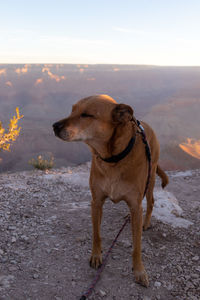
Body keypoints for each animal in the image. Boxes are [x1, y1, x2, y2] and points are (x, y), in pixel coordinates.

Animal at [52, 94, 168, 286]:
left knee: (150, 202)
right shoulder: (96, 202)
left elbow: (137, 246)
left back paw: (145, 222)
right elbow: (96, 234)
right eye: (72, 110)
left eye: (86, 115)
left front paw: (139, 271)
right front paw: (96, 256)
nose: (54, 126)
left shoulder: (135, 205)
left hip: (150, 179)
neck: (113, 159)